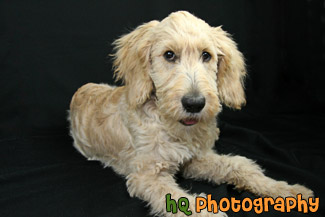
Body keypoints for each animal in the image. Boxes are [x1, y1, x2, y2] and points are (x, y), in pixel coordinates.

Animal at [69, 10, 314, 217]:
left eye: (206, 56)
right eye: (169, 55)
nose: (195, 104)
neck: (172, 128)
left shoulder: (195, 160)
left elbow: (239, 165)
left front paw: (283, 189)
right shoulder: (148, 176)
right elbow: (180, 201)